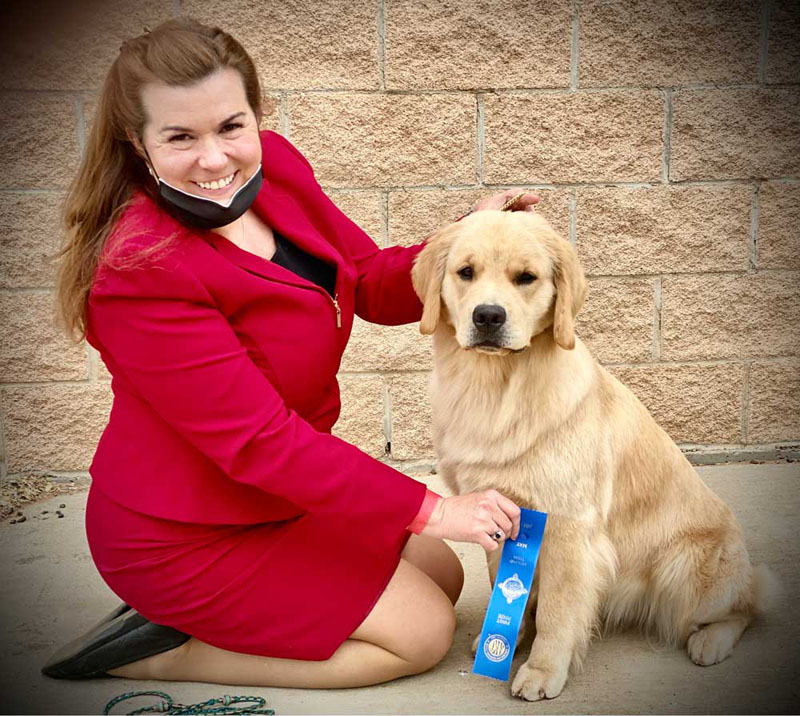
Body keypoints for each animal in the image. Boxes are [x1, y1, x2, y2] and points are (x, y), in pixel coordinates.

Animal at [410, 210, 772, 704]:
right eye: (466, 272)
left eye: (526, 278)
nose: (487, 316)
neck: (498, 387)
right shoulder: (500, 513)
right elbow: (513, 591)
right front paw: (503, 639)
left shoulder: (568, 526)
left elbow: (557, 612)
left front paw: (542, 670)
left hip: (686, 568)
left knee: (747, 604)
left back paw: (710, 641)